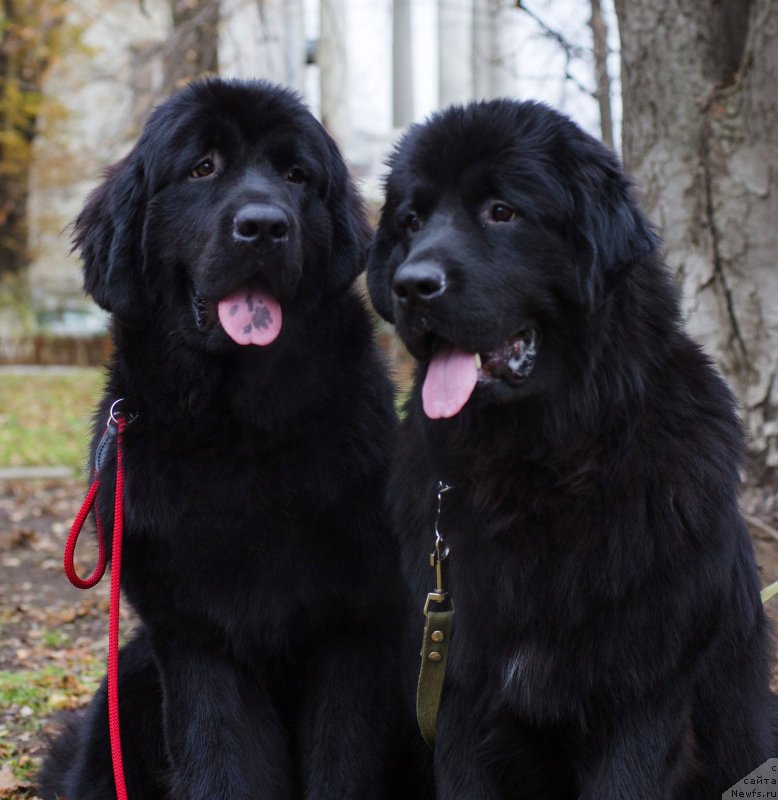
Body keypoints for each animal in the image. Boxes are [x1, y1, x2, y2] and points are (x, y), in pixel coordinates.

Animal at [37, 78, 416, 800]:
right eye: (202, 168)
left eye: (296, 175)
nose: (264, 226)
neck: (238, 431)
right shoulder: (196, 639)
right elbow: (224, 761)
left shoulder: (356, 627)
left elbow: (343, 759)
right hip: (126, 681)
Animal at [366, 98, 776, 800]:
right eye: (411, 222)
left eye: (502, 211)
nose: (412, 284)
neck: (539, 466)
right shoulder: (458, 692)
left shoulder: (642, 699)